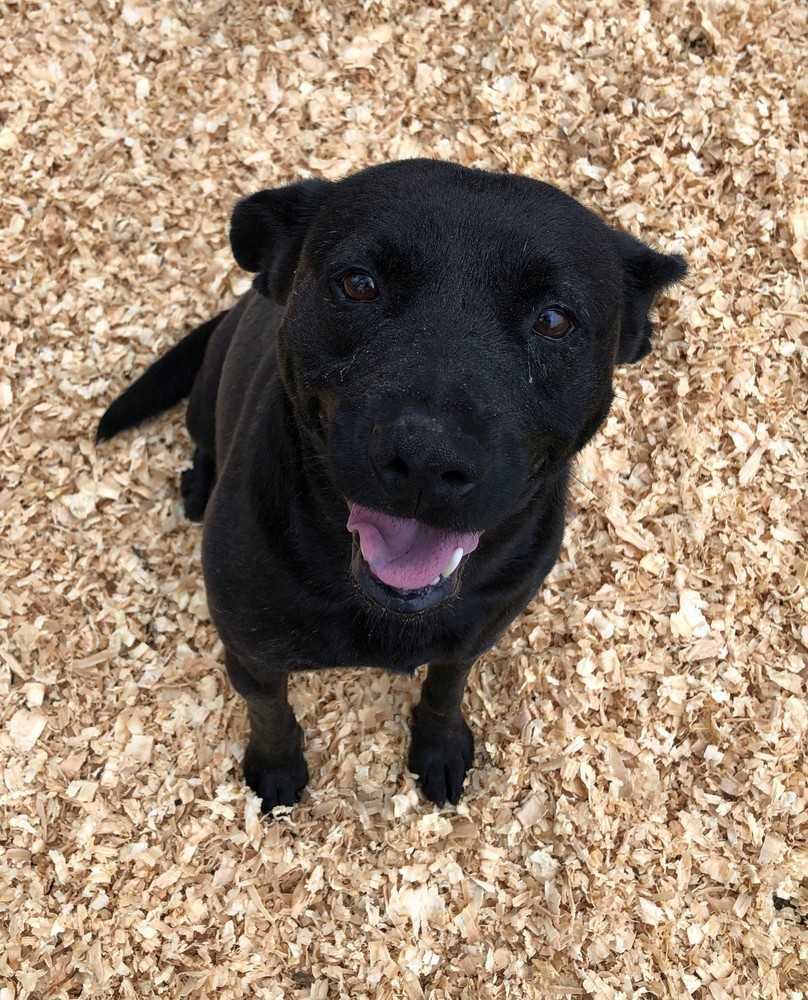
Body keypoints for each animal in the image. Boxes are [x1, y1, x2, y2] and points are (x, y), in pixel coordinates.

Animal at [98, 158, 684, 812]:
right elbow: (269, 712)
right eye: (359, 284)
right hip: (205, 394)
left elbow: (445, 689)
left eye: (555, 320)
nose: (428, 459)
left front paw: (439, 747)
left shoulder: (474, 635)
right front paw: (276, 767)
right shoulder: (250, 654)